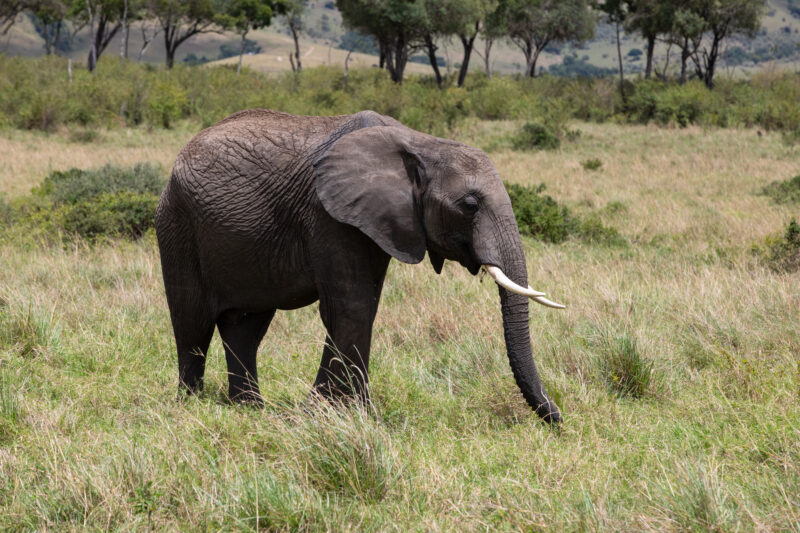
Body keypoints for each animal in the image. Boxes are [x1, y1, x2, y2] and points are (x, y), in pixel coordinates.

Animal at [155, 109, 565, 423]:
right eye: (470, 205)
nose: (558, 418)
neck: (419, 144)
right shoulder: (327, 214)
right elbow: (350, 307)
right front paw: (342, 414)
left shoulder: (380, 221)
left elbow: (365, 305)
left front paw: (339, 411)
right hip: (177, 223)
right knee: (192, 324)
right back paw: (190, 405)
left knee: (245, 328)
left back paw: (250, 409)